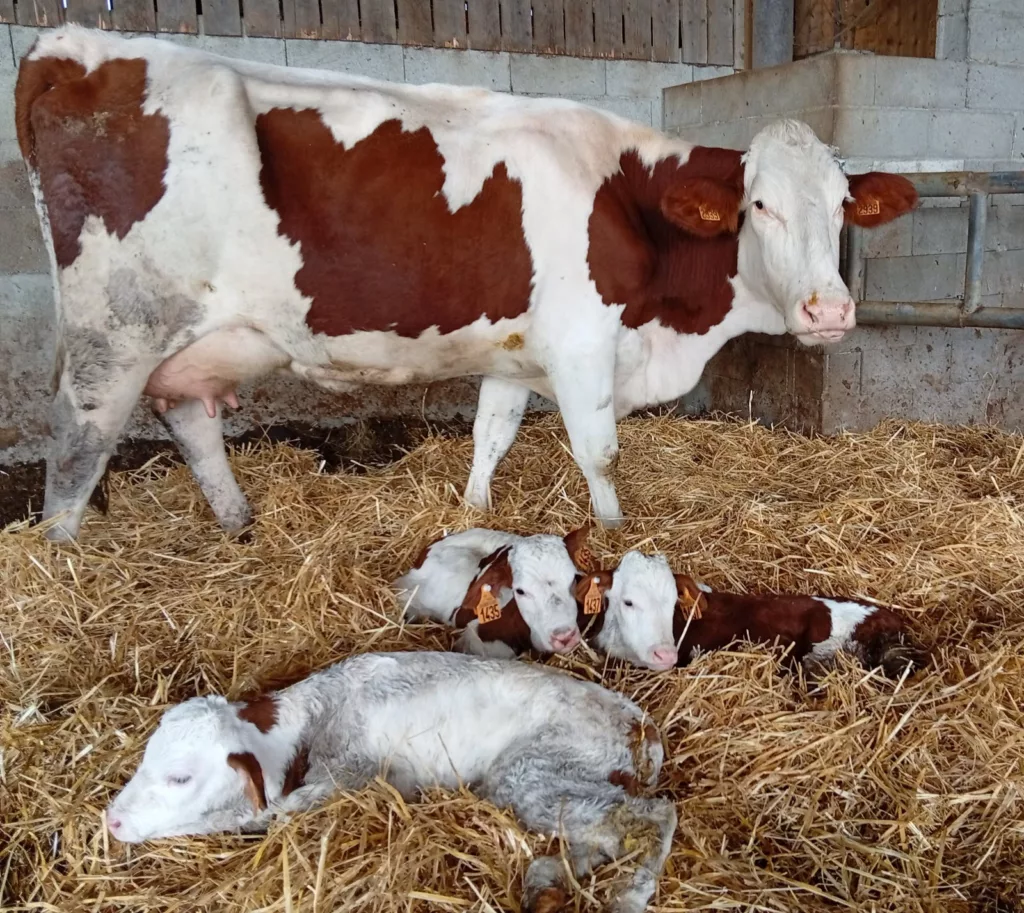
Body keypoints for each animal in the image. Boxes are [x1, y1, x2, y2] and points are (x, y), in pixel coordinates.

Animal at [15, 27, 918, 540]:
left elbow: (491, 434)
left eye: (844, 204)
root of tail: (72, 47)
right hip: (113, 333)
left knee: (192, 421)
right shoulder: (582, 342)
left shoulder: (515, 350)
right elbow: (600, 453)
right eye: (759, 206)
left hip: (191, 339)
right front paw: (616, 535)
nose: (830, 309)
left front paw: (477, 515)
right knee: (75, 452)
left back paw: (240, 525)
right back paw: (64, 563)